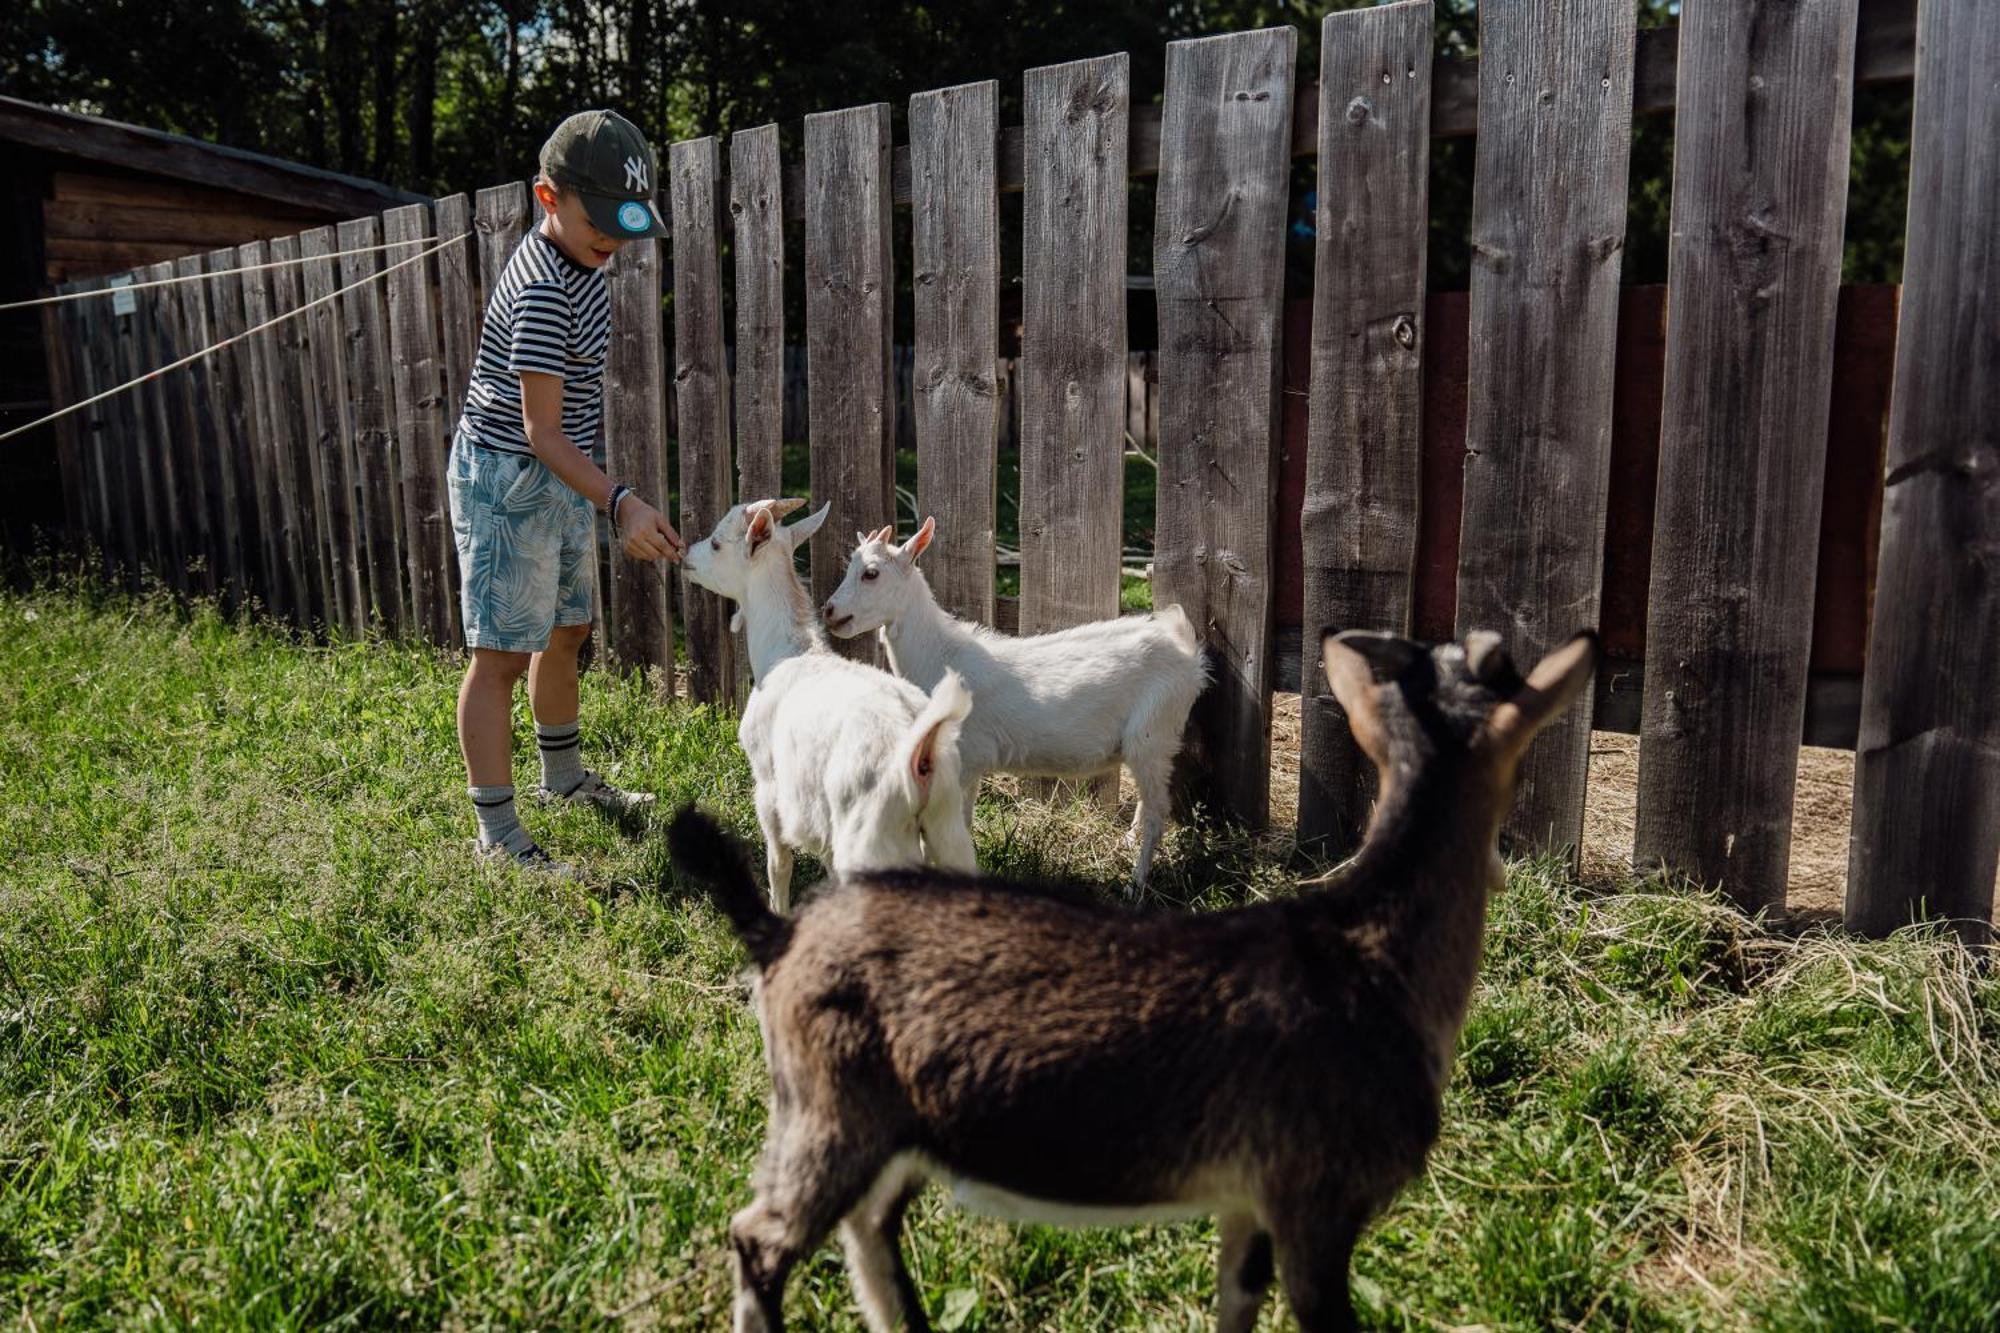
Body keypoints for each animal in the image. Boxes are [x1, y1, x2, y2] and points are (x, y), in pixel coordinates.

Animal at [668, 624, 1592, 1328]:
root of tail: (778, 936)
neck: (1366, 944)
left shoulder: (1251, 1199)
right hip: (831, 1115)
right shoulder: (1317, 1198)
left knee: (863, 1230)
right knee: (763, 1235)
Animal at [824, 516, 1208, 880]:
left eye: (871, 573)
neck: (941, 656)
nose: (830, 611)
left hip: (1154, 731)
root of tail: (1187, 651)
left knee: (1157, 814)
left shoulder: (966, 757)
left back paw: (1135, 884)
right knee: (1147, 805)